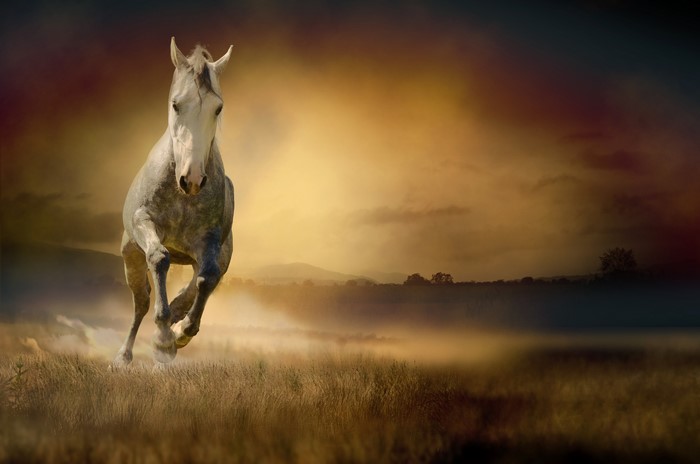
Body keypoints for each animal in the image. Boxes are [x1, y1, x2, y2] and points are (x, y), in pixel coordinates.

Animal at [113, 38, 235, 366]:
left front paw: (180, 332)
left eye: (218, 108)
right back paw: (124, 356)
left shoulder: (209, 241)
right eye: (176, 104)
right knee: (141, 303)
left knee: (200, 284)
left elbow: (207, 278)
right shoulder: (145, 223)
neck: (183, 198)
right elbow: (159, 258)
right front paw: (163, 337)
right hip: (131, 257)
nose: (191, 179)